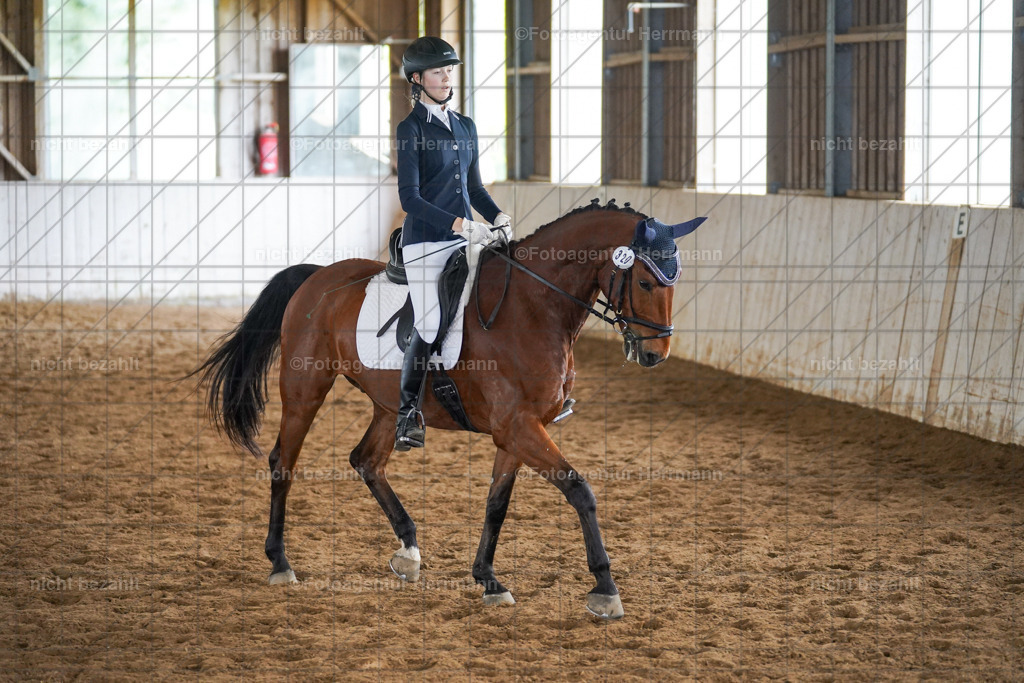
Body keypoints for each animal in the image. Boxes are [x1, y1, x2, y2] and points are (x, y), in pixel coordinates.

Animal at [191, 199, 706, 619]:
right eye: (645, 281)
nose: (654, 354)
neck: (533, 307)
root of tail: (317, 275)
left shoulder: (517, 431)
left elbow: (497, 504)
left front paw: (488, 579)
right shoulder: (518, 427)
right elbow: (580, 490)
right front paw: (605, 589)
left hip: (387, 405)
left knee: (366, 460)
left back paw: (408, 551)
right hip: (304, 389)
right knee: (284, 462)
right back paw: (280, 562)